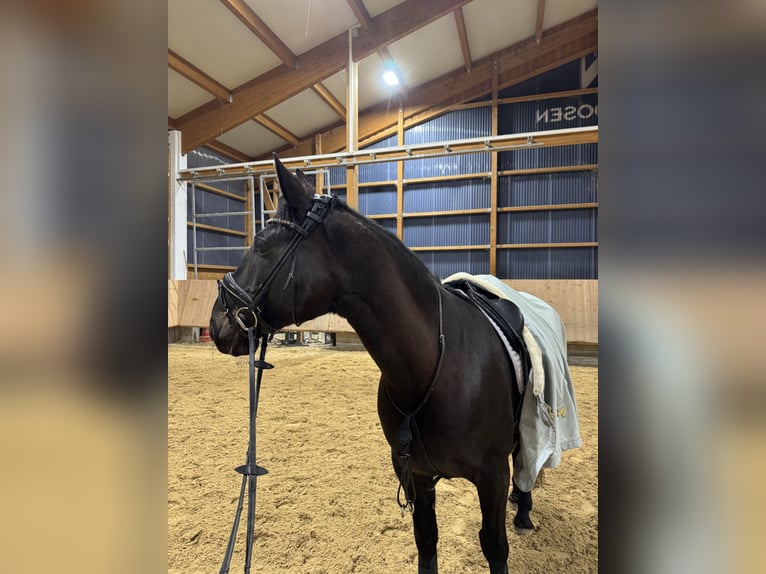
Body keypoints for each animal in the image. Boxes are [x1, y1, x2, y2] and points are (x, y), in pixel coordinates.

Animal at [209, 156, 535, 574]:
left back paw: (523, 511)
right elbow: (426, 540)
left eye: (263, 245)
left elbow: (494, 545)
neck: (435, 368)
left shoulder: (492, 477)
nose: (216, 322)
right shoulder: (415, 474)